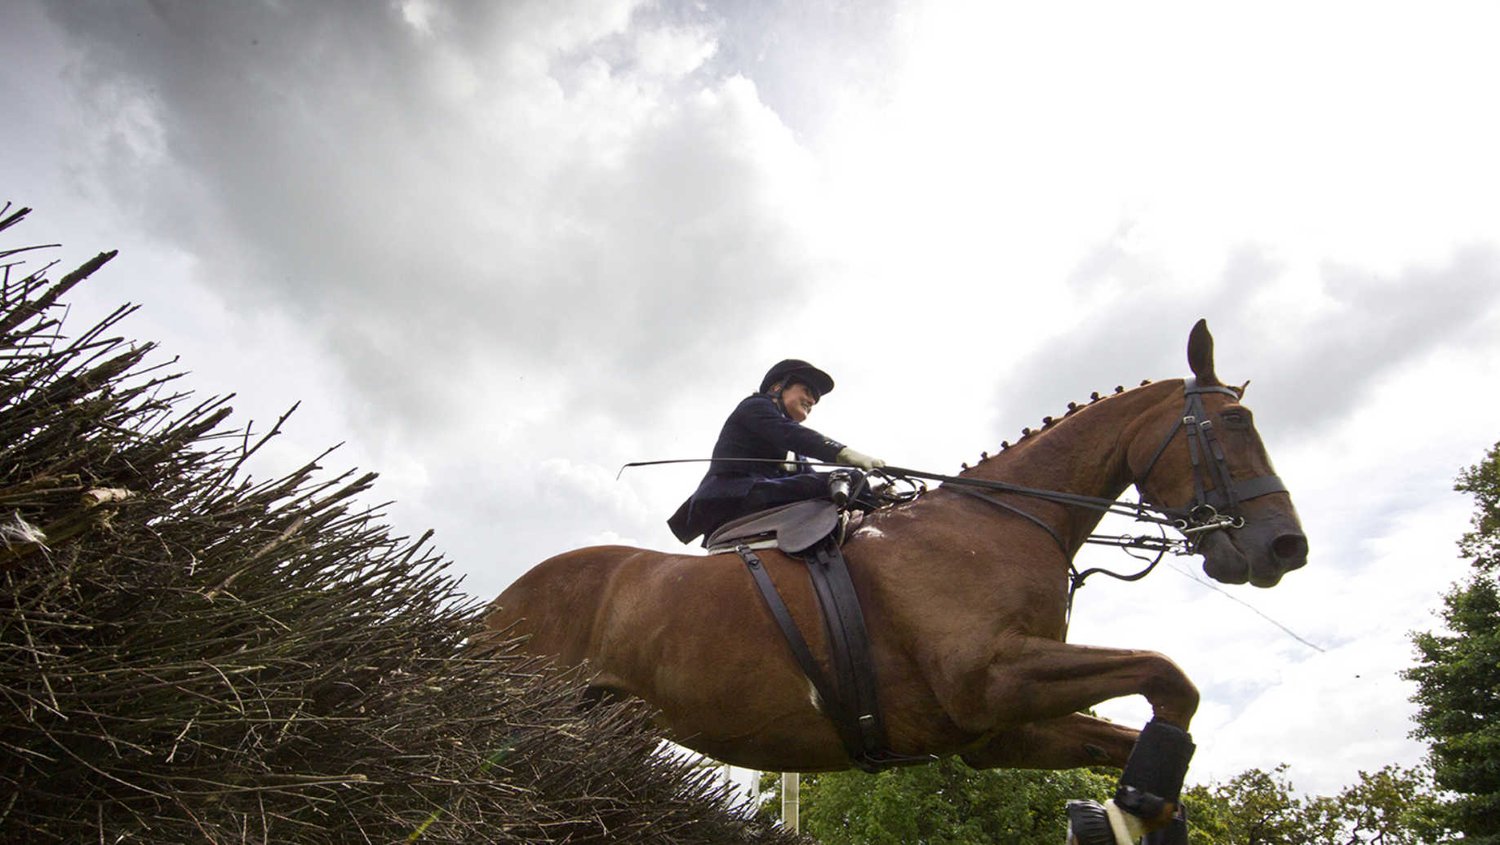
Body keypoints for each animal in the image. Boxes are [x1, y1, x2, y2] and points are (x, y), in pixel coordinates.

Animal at [489, 321, 1302, 810]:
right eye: (1235, 422)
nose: (1286, 548)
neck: (999, 522)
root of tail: (504, 597)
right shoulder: (991, 679)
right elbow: (1170, 678)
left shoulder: (999, 732)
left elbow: (1148, 740)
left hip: (611, 728)